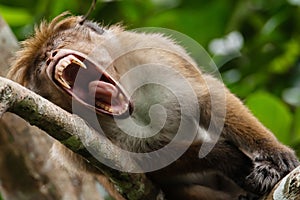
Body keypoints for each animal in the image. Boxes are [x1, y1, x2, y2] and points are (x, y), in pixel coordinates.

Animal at [8, 12, 298, 200]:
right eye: (42, 63)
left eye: (57, 47)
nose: (51, 57)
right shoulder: (72, 146)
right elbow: (138, 165)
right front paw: (227, 158)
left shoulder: (151, 52)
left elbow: (207, 97)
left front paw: (275, 155)